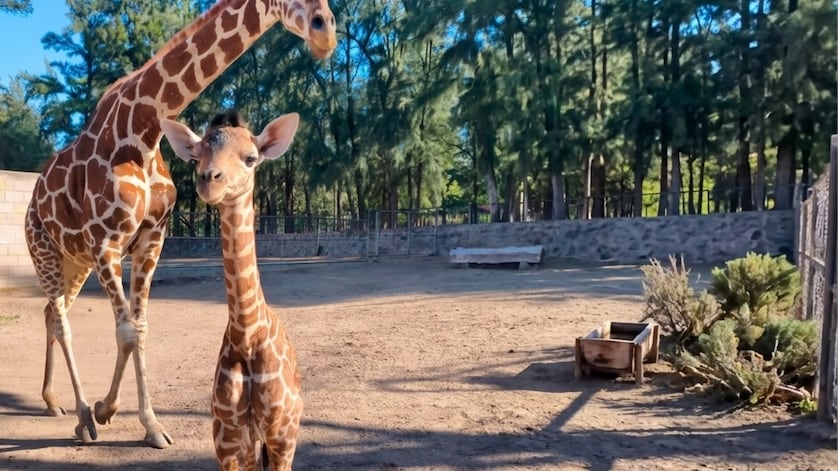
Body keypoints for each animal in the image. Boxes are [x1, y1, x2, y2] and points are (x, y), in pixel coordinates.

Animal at [160, 110, 302, 470]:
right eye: (195, 157)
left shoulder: (282, 435)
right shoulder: (229, 439)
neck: (247, 335)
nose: (209, 180)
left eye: (251, 158)